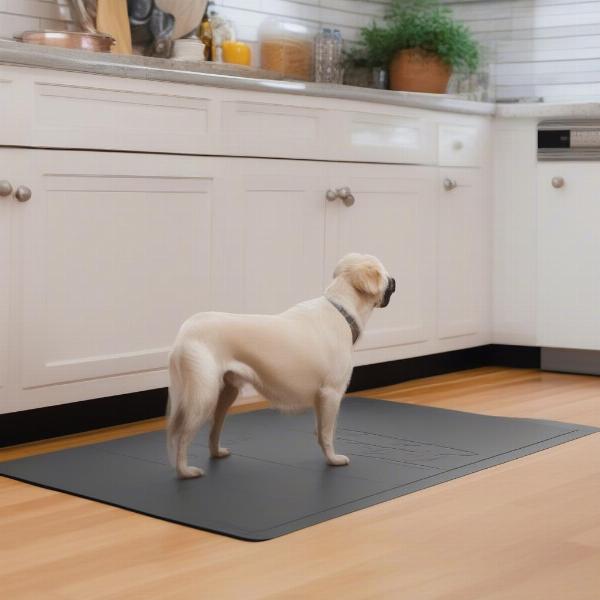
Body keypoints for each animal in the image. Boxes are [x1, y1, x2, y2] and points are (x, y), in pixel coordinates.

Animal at [166, 253, 396, 478]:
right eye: (385, 274)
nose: (395, 280)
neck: (342, 310)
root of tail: (185, 331)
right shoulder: (330, 394)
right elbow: (327, 433)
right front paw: (333, 459)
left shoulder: (320, 399)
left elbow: (319, 431)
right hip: (203, 395)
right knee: (181, 436)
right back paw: (184, 471)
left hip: (227, 392)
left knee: (213, 429)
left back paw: (216, 453)